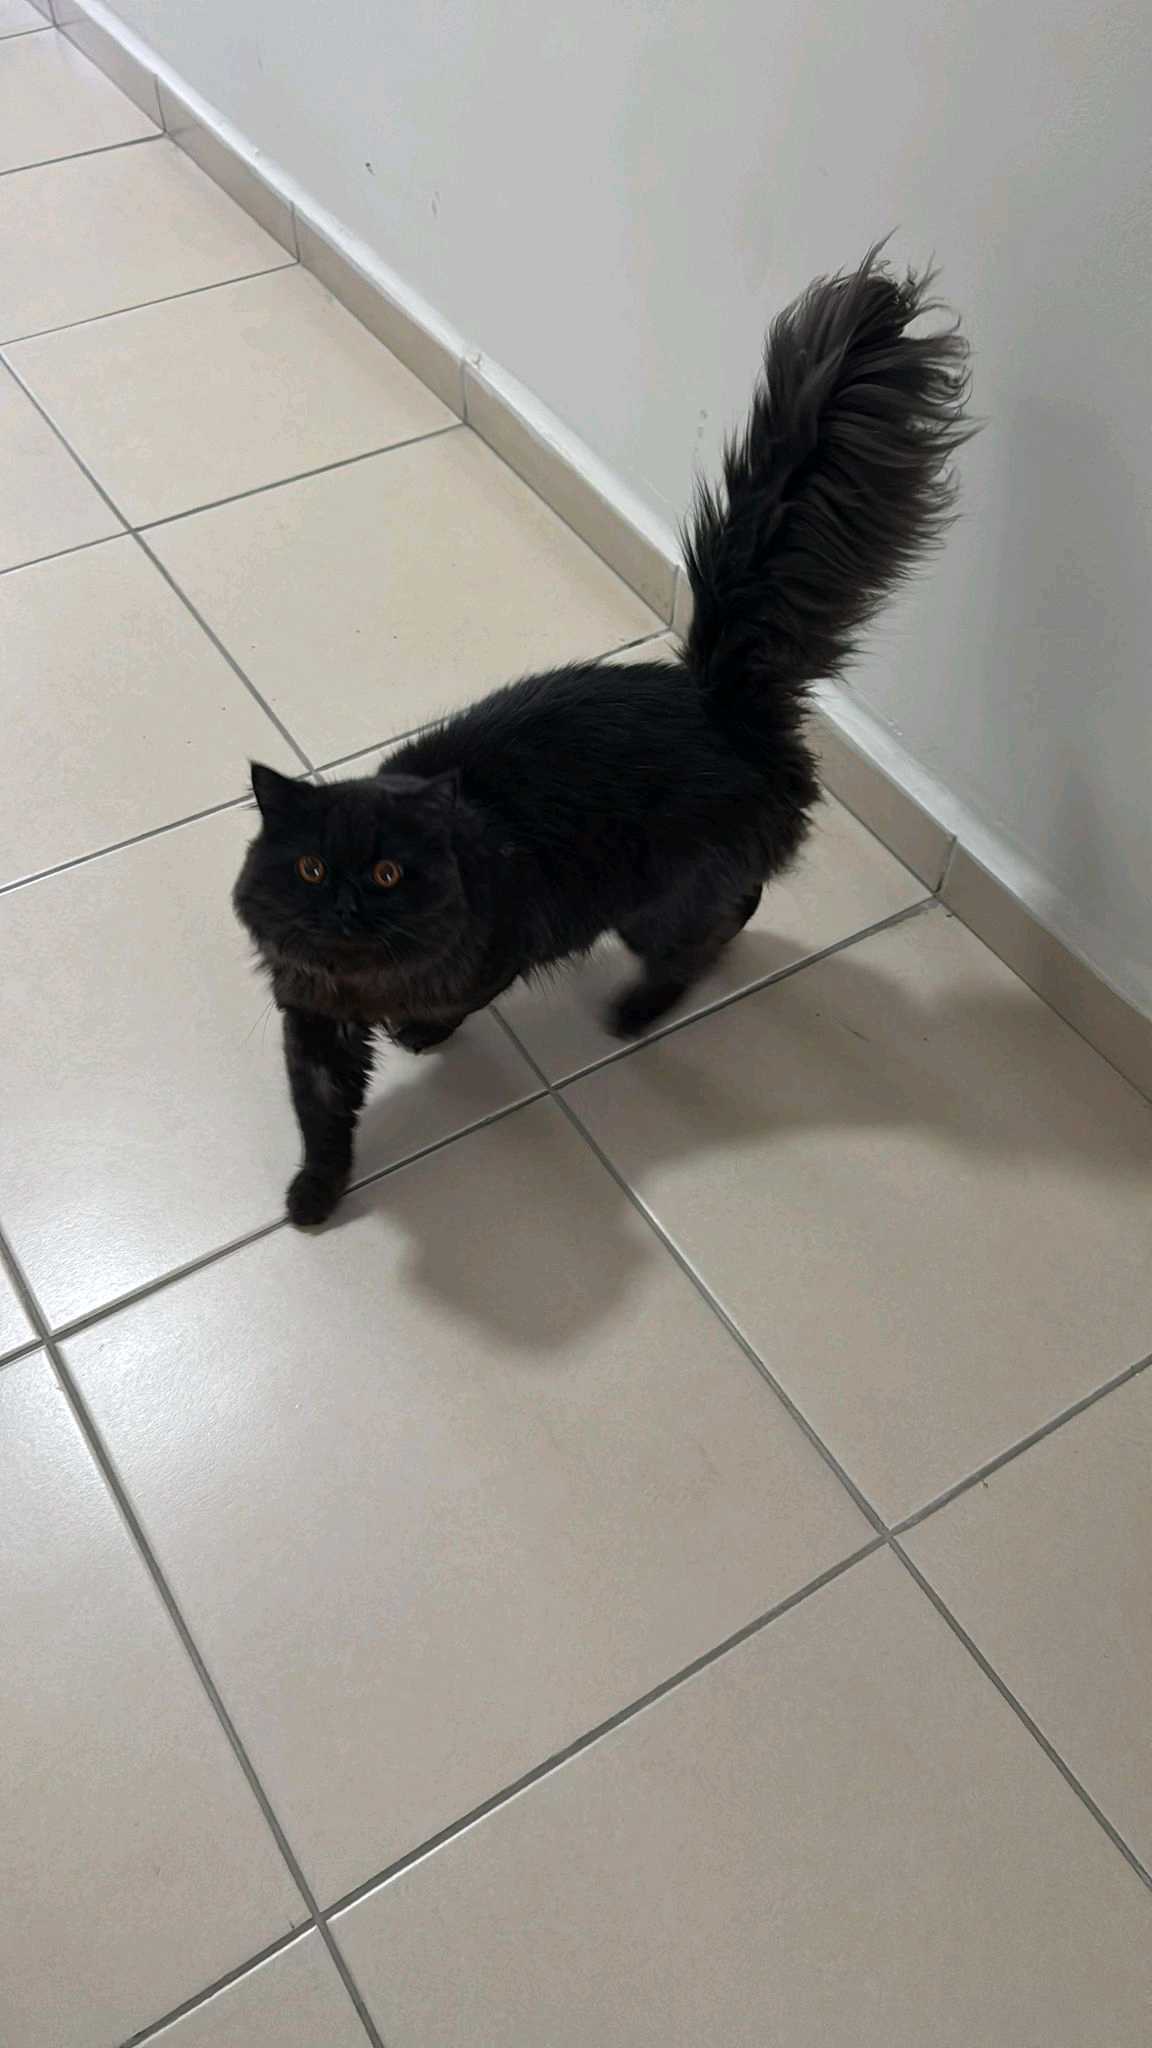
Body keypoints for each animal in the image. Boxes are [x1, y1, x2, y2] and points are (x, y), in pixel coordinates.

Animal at [234, 248, 971, 1226]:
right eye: (312, 870)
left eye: (388, 874)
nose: (346, 907)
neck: (365, 978)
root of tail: (724, 699)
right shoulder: (310, 1018)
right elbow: (321, 1116)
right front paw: (314, 1198)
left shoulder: (507, 940)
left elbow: (460, 1001)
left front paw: (422, 1034)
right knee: (742, 900)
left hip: (654, 900)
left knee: (700, 938)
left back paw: (633, 1013)